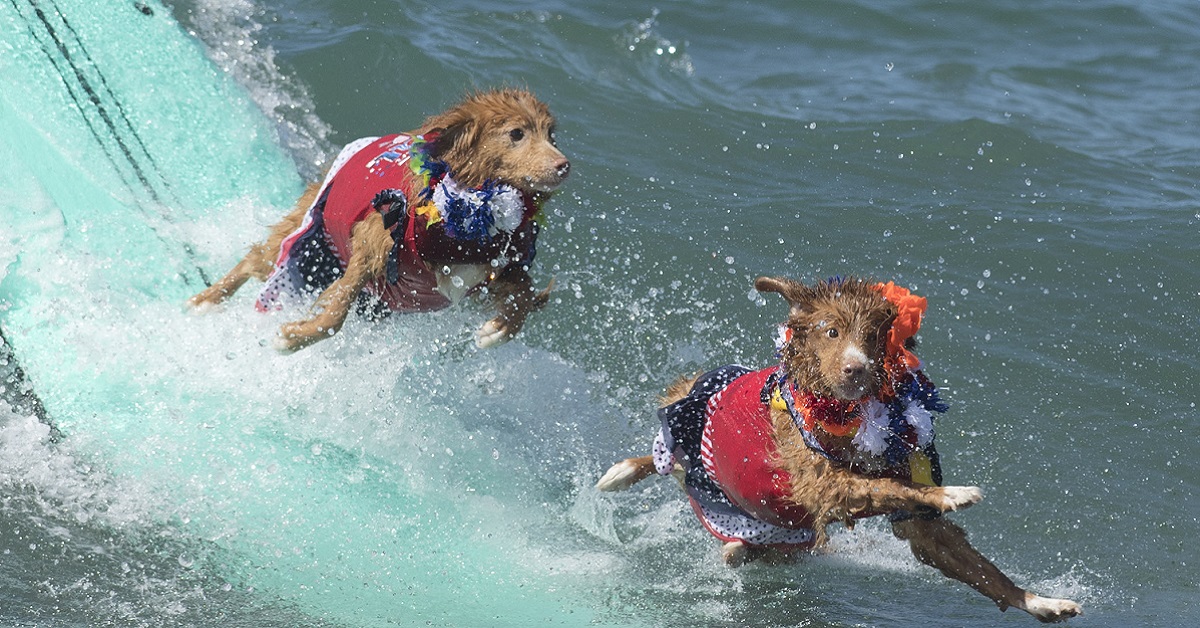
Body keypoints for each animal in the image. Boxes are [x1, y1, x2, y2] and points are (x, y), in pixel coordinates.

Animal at [188, 87, 571, 350]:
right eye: (516, 133)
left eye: (550, 134)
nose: (564, 165)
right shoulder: (373, 241)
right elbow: (337, 310)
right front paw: (299, 336)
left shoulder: (492, 265)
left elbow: (523, 290)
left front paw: (500, 328)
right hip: (309, 237)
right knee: (255, 259)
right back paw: (204, 301)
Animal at [595, 276, 1084, 624]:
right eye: (830, 332)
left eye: (873, 338)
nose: (856, 368)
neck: (847, 413)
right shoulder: (823, 483)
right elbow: (891, 487)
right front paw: (953, 494)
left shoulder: (909, 502)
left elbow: (963, 555)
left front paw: (1039, 601)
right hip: (687, 442)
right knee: (662, 460)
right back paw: (623, 473)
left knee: (743, 545)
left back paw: (733, 547)